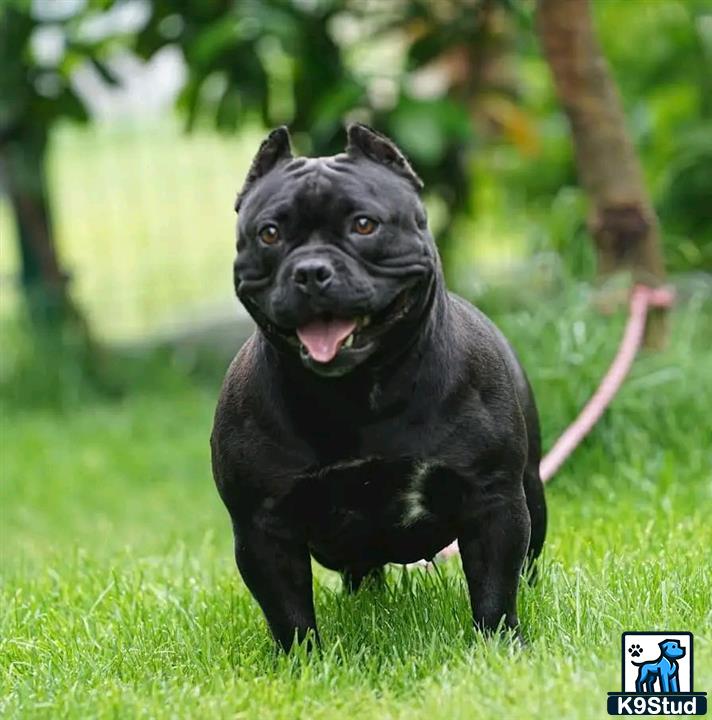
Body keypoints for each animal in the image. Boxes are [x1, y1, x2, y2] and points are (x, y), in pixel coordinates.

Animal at [209, 124, 548, 652]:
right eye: (269, 234)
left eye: (364, 226)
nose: (311, 271)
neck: (356, 392)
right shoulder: (262, 528)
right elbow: (287, 611)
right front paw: (303, 660)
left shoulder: (493, 501)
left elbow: (494, 586)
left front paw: (501, 644)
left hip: (531, 488)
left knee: (528, 558)